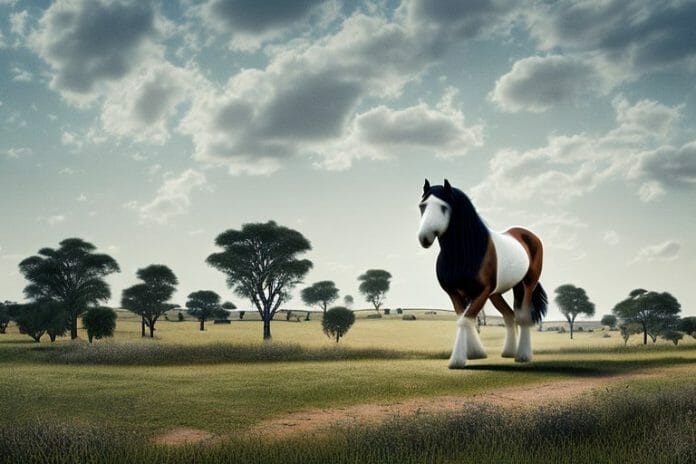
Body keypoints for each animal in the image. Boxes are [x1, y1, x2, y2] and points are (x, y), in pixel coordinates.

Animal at [417, 179, 547, 368]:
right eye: (422, 206)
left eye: (443, 207)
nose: (424, 238)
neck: (466, 253)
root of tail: (528, 235)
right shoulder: (454, 293)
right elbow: (465, 318)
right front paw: (475, 353)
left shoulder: (482, 291)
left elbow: (466, 319)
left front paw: (457, 360)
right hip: (497, 293)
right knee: (509, 315)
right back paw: (508, 352)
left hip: (528, 284)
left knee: (523, 316)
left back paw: (523, 356)